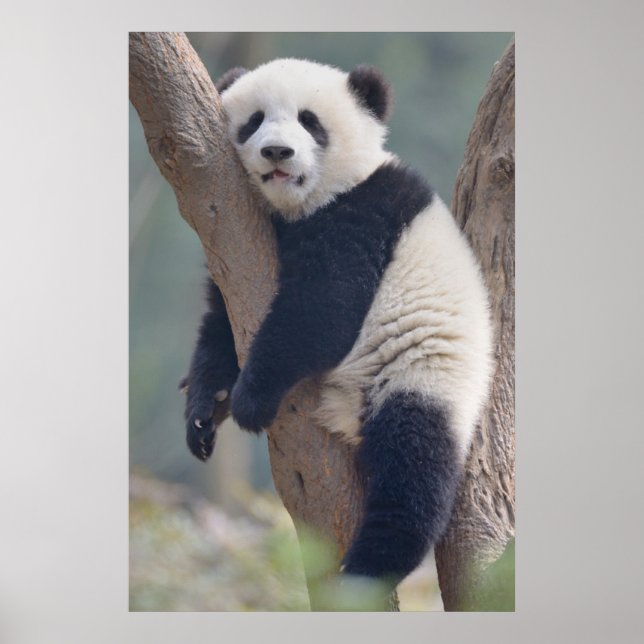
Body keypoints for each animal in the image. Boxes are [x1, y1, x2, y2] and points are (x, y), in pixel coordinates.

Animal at [182, 58, 493, 588]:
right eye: (254, 121)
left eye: (310, 122)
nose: (277, 151)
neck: (301, 207)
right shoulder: (234, 241)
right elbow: (222, 321)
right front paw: (205, 409)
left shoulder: (366, 213)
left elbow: (322, 311)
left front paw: (250, 399)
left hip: (424, 376)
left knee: (415, 464)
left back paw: (369, 569)